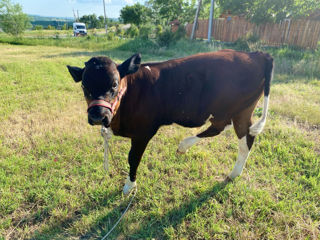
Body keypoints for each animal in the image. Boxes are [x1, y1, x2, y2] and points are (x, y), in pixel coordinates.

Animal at [67, 49, 272, 194]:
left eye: (114, 84)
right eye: (84, 85)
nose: (98, 115)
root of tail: (256, 54)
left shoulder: (143, 132)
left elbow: (133, 158)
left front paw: (130, 186)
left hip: (237, 109)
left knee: (239, 136)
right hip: (237, 110)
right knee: (229, 130)